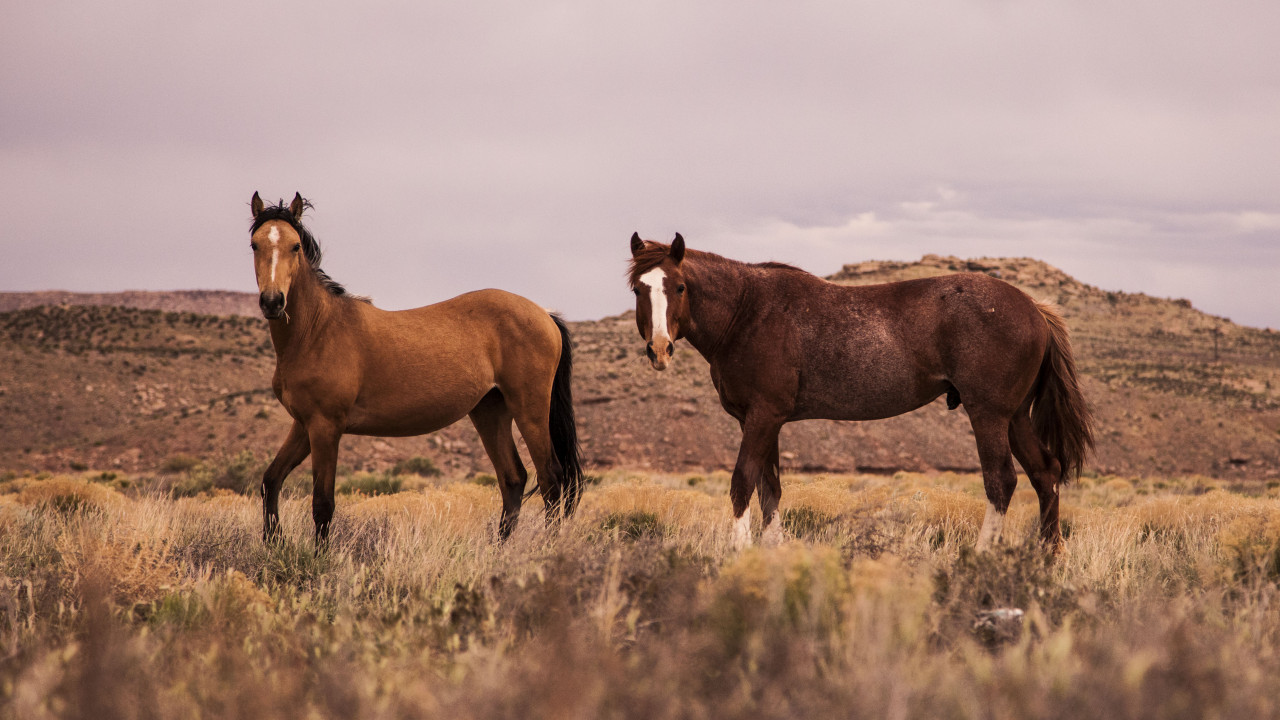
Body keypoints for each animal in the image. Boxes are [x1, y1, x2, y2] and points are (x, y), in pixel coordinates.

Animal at [247, 192, 583, 544]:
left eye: (295, 246)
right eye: (255, 244)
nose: (273, 302)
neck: (317, 330)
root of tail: (544, 314)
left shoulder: (325, 427)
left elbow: (323, 504)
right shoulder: (304, 425)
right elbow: (270, 481)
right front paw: (274, 542)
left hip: (529, 410)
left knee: (551, 480)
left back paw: (547, 547)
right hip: (490, 411)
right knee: (513, 478)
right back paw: (500, 549)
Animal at [627, 233, 1094, 551]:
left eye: (679, 287)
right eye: (638, 289)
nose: (659, 349)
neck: (748, 312)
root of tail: (1034, 308)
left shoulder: (762, 417)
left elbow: (742, 482)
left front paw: (739, 552)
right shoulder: (765, 422)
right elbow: (769, 489)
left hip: (989, 415)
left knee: (1001, 481)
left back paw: (982, 557)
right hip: (1014, 417)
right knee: (1045, 474)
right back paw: (1046, 558)